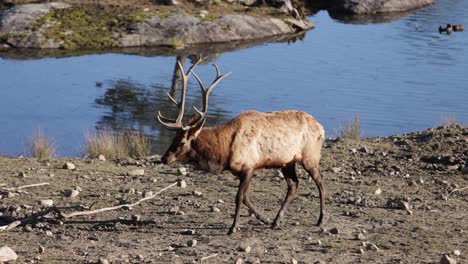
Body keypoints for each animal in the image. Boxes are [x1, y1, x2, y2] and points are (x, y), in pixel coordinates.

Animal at [158, 58, 326, 235]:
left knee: (320, 182)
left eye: (182, 142)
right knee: (293, 185)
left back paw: (321, 220)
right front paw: (264, 218)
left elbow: (239, 197)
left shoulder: (249, 166)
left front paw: (233, 227)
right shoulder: (242, 171)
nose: (164, 158)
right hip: (288, 162)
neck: (224, 153)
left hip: (310, 157)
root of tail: (321, 127)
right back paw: (276, 221)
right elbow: (246, 197)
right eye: (173, 138)